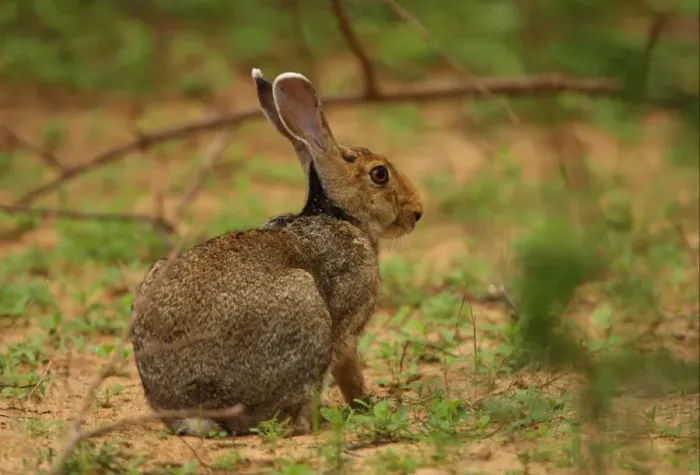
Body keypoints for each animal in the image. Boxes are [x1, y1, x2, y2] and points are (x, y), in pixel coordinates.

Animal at [129, 69, 424, 438]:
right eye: (379, 174)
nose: (417, 212)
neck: (340, 214)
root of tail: (197, 411)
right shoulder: (345, 330)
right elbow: (349, 371)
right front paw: (365, 405)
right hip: (304, 307)